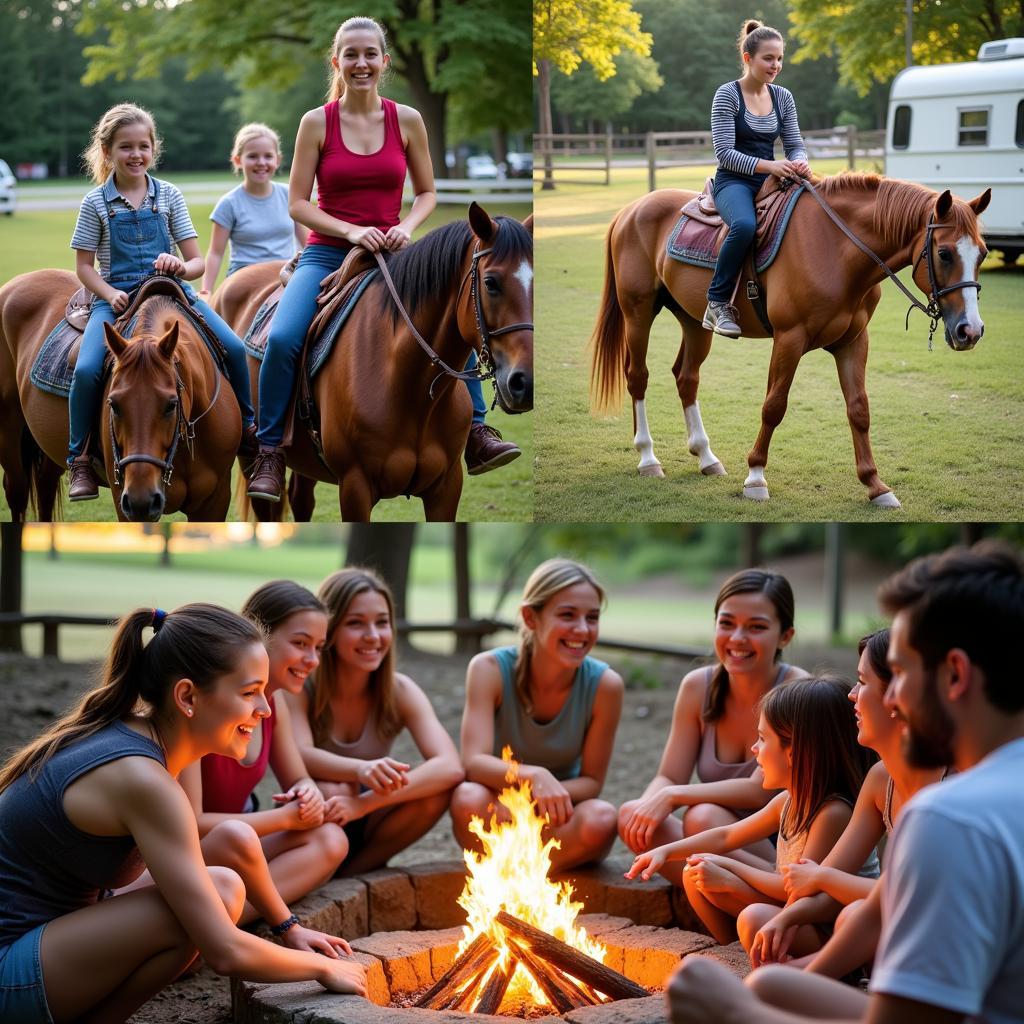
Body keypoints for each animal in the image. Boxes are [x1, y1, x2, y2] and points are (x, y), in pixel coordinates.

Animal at [0, 270, 241, 520]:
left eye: (171, 405)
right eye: (113, 405)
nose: (141, 500)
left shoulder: (215, 501)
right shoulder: (123, 498)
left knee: (45, 487)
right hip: (9, 431)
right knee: (17, 491)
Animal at [217, 201, 536, 520]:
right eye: (490, 283)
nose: (524, 383)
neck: (409, 387)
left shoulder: (446, 486)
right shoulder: (355, 487)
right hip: (249, 458)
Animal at [593, 174, 991, 505]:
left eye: (983, 253)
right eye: (944, 253)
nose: (970, 330)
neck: (836, 249)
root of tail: (630, 210)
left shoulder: (854, 342)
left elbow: (859, 410)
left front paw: (876, 486)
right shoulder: (789, 339)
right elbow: (774, 406)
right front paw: (755, 477)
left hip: (694, 322)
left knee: (686, 378)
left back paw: (706, 457)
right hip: (638, 313)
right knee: (638, 377)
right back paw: (647, 457)